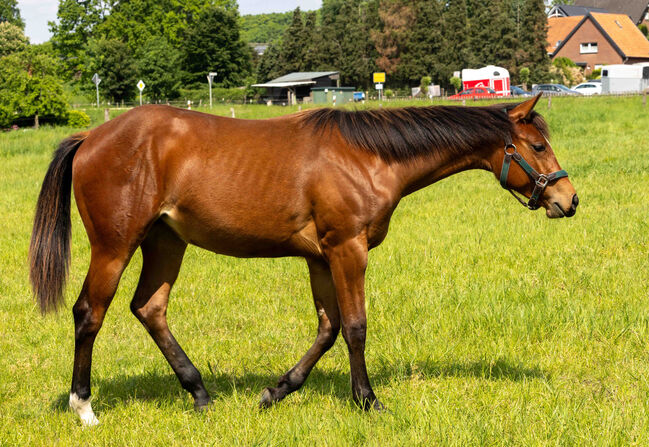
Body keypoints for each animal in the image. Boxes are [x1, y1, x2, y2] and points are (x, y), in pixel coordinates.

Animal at [29, 94, 578, 426]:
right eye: (537, 145)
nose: (568, 200)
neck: (368, 156)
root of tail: (91, 137)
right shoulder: (346, 249)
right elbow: (355, 326)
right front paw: (368, 400)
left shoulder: (319, 258)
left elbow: (328, 328)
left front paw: (277, 391)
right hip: (115, 247)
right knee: (89, 314)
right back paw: (84, 407)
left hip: (166, 242)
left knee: (150, 308)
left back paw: (199, 392)